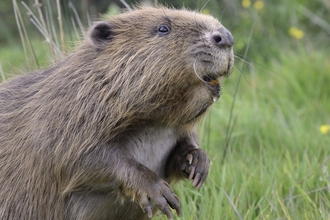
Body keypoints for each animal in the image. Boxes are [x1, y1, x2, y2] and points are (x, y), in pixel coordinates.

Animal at [0, 5, 235, 220]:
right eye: (163, 28)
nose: (225, 37)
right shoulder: (60, 120)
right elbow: (82, 160)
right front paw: (160, 193)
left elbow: (180, 150)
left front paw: (198, 163)